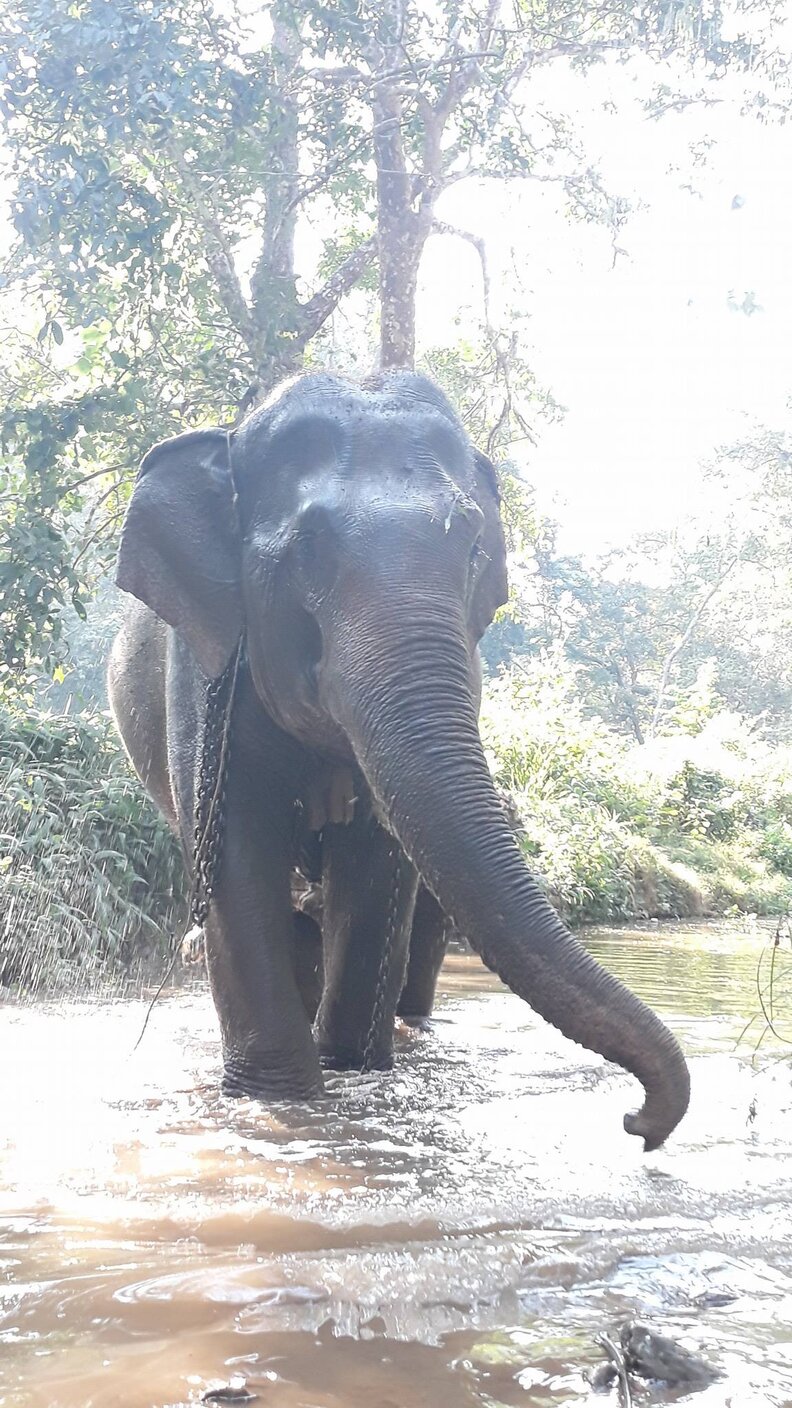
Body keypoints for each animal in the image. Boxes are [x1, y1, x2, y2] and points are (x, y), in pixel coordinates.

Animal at [108, 370, 690, 1150]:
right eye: (308, 549)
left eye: (473, 548)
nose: (638, 1123)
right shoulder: (203, 667)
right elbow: (236, 852)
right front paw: (280, 1105)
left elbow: (376, 863)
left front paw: (351, 1072)